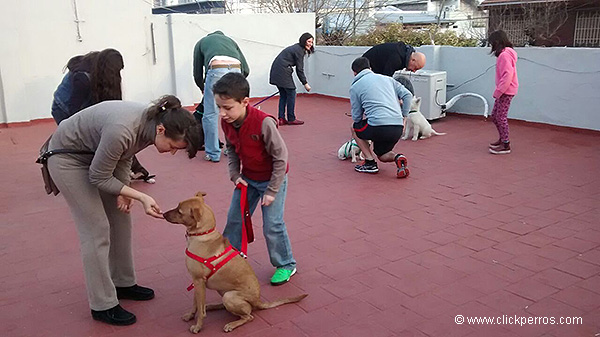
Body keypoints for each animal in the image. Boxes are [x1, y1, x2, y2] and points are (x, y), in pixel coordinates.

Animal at [163, 190, 308, 332]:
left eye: (179, 211)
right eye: (177, 206)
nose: (163, 214)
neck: (203, 234)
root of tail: (258, 301)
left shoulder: (199, 280)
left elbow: (200, 311)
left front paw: (198, 326)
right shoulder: (197, 282)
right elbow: (196, 304)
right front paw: (190, 316)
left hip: (230, 296)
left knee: (248, 316)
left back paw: (231, 324)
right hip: (223, 292)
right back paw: (212, 306)